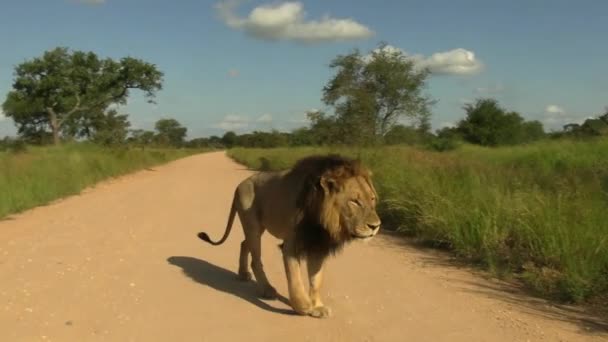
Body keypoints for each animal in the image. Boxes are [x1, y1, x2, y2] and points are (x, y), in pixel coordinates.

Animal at [198, 154, 380, 318]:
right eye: (354, 201)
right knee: (255, 259)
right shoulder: (292, 245)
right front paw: (303, 306)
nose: (376, 226)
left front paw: (317, 307)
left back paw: (243, 274)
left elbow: (316, 280)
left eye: (372, 199)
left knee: (244, 243)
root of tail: (239, 185)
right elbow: (295, 278)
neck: (322, 219)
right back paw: (267, 289)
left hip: (259, 228)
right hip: (252, 225)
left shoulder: (318, 245)